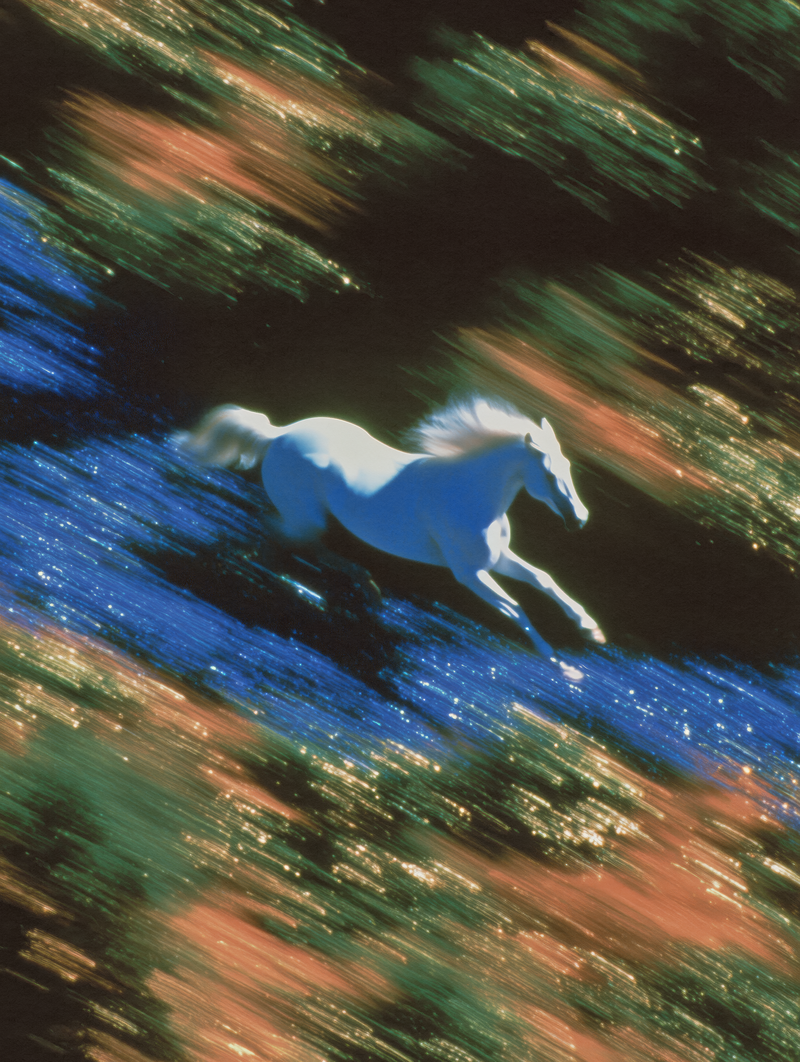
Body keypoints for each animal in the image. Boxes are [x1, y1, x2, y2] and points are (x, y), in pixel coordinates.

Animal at [175, 398, 605, 679]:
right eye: (549, 474)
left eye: (567, 466)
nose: (580, 519)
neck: (470, 494)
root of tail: (277, 435)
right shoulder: (469, 573)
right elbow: (515, 609)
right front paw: (562, 665)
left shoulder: (497, 559)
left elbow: (544, 581)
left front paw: (591, 629)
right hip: (305, 516)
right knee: (284, 541)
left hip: (308, 519)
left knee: (296, 546)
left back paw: (362, 592)